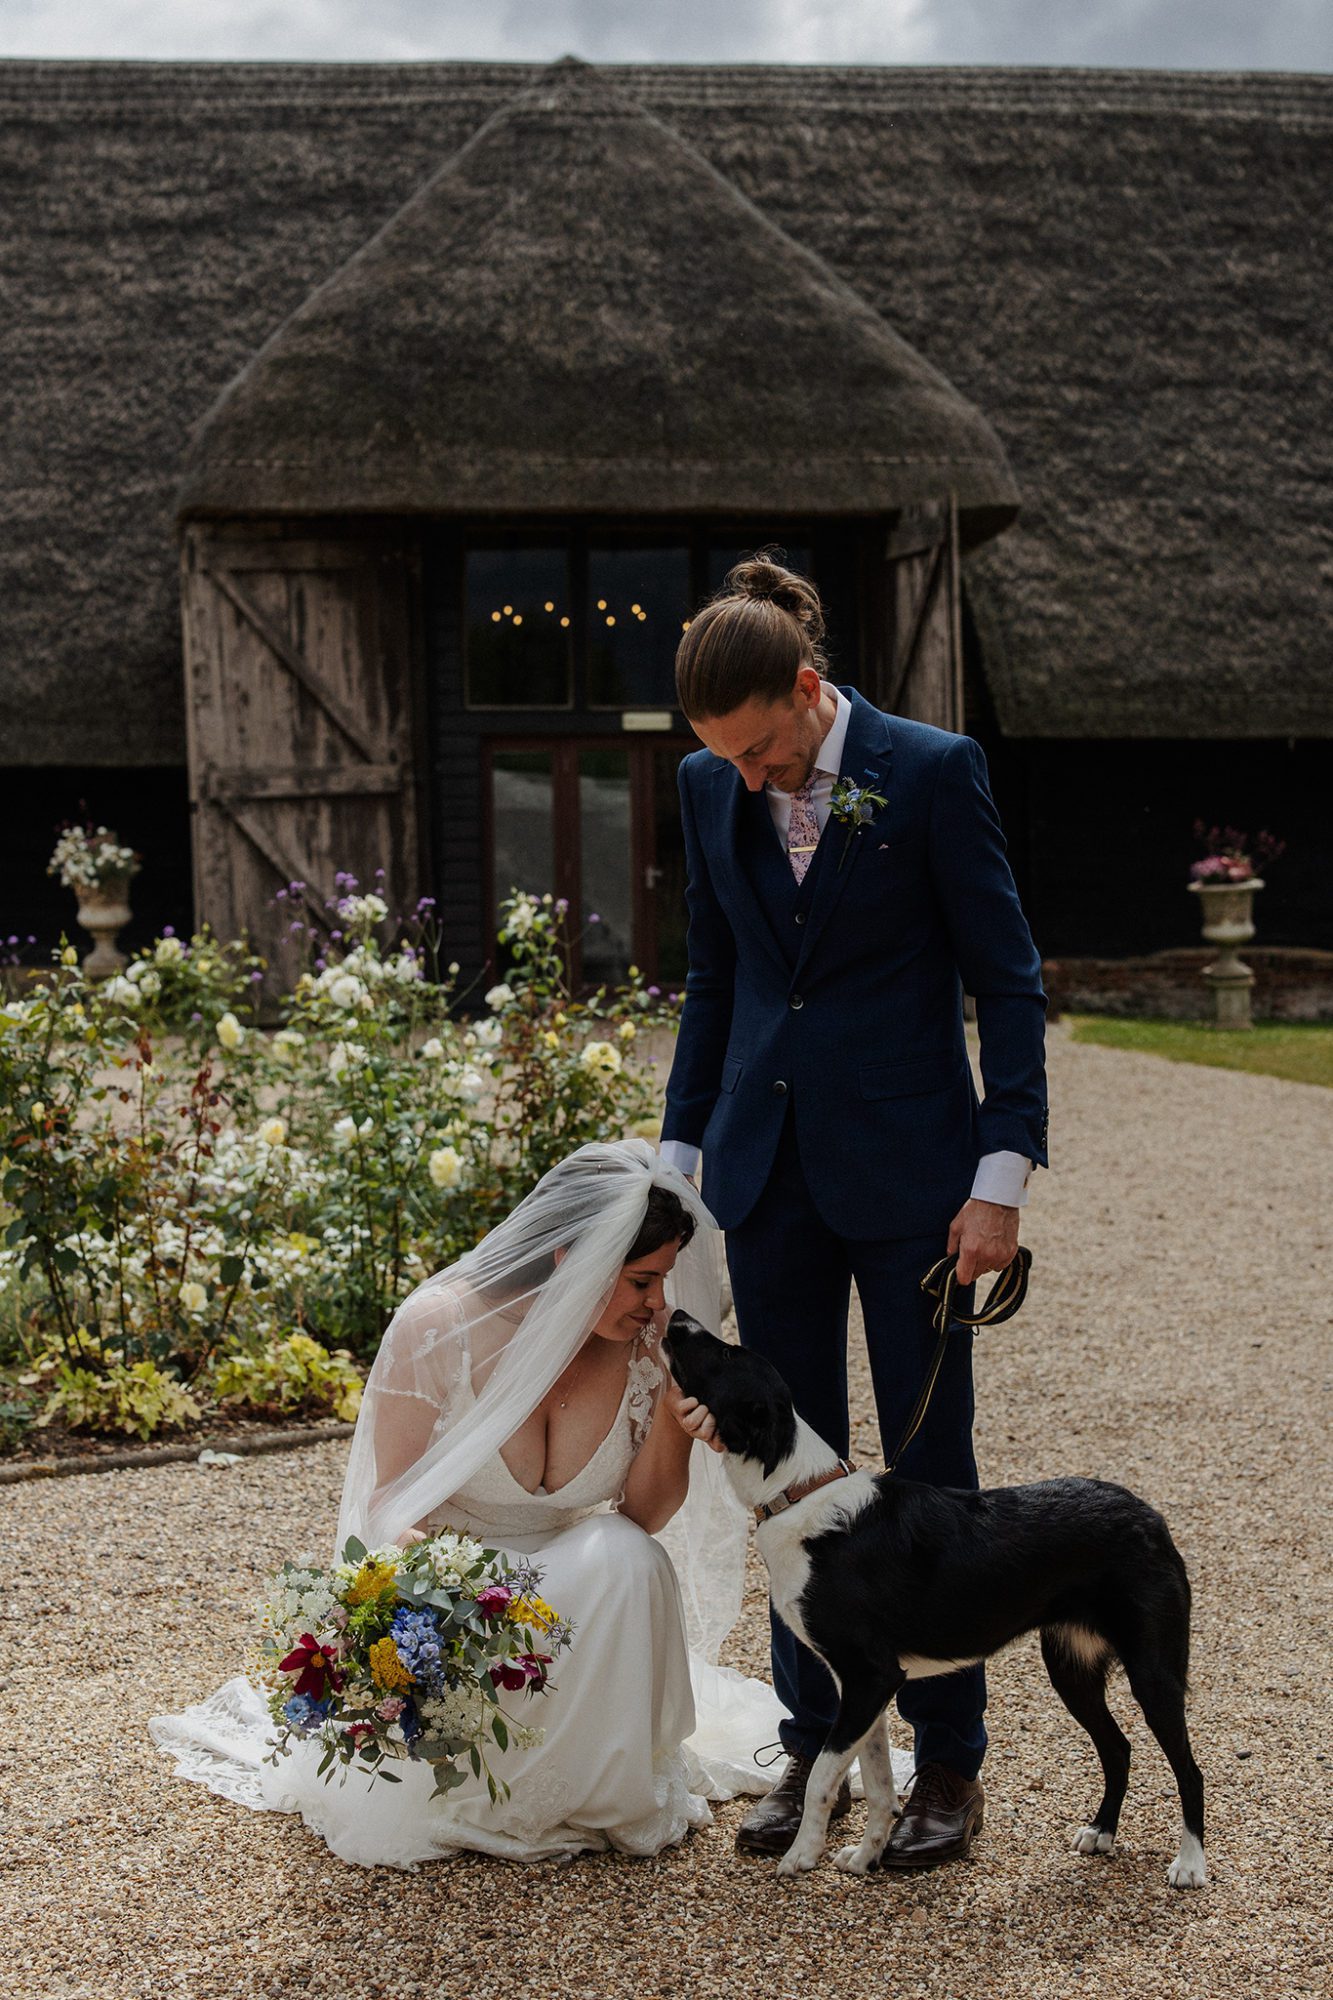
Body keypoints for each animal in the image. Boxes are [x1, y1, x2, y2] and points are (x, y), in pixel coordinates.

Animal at [660, 1312, 1200, 1888]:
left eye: (727, 1355)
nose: (676, 1318)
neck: (799, 1494)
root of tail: (1151, 1516)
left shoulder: (870, 1676)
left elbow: (823, 1774)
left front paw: (803, 1854)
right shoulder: (862, 1689)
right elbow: (875, 1781)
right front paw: (866, 1856)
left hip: (1152, 1672)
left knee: (1188, 1769)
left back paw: (1190, 1863)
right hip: (1070, 1668)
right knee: (1118, 1749)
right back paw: (1101, 1833)